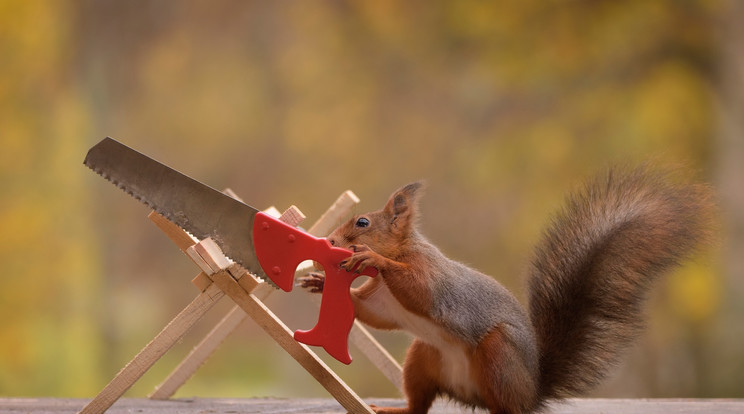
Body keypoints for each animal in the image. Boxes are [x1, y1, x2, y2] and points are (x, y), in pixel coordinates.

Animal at [298, 166, 716, 414]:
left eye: (363, 223)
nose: (329, 241)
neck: (400, 255)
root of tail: (531, 390)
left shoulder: (432, 278)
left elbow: (419, 289)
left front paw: (371, 257)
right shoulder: (384, 301)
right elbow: (371, 313)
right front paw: (319, 282)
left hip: (499, 356)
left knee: (507, 408)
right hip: (423, 357)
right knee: (419, 404)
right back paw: (394, 410)